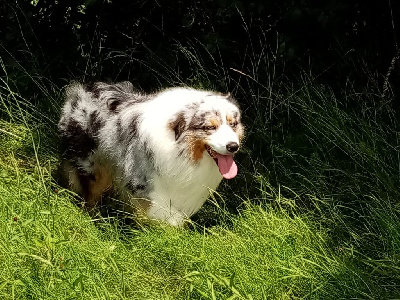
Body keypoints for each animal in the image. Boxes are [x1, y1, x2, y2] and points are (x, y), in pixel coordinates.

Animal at [56, 82, 244, 225]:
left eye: (233, 124)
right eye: (210, 127)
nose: (233, 146)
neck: (178, 147)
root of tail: (79, 92)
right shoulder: (144, 185)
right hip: (91, 168)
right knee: (90, 197)